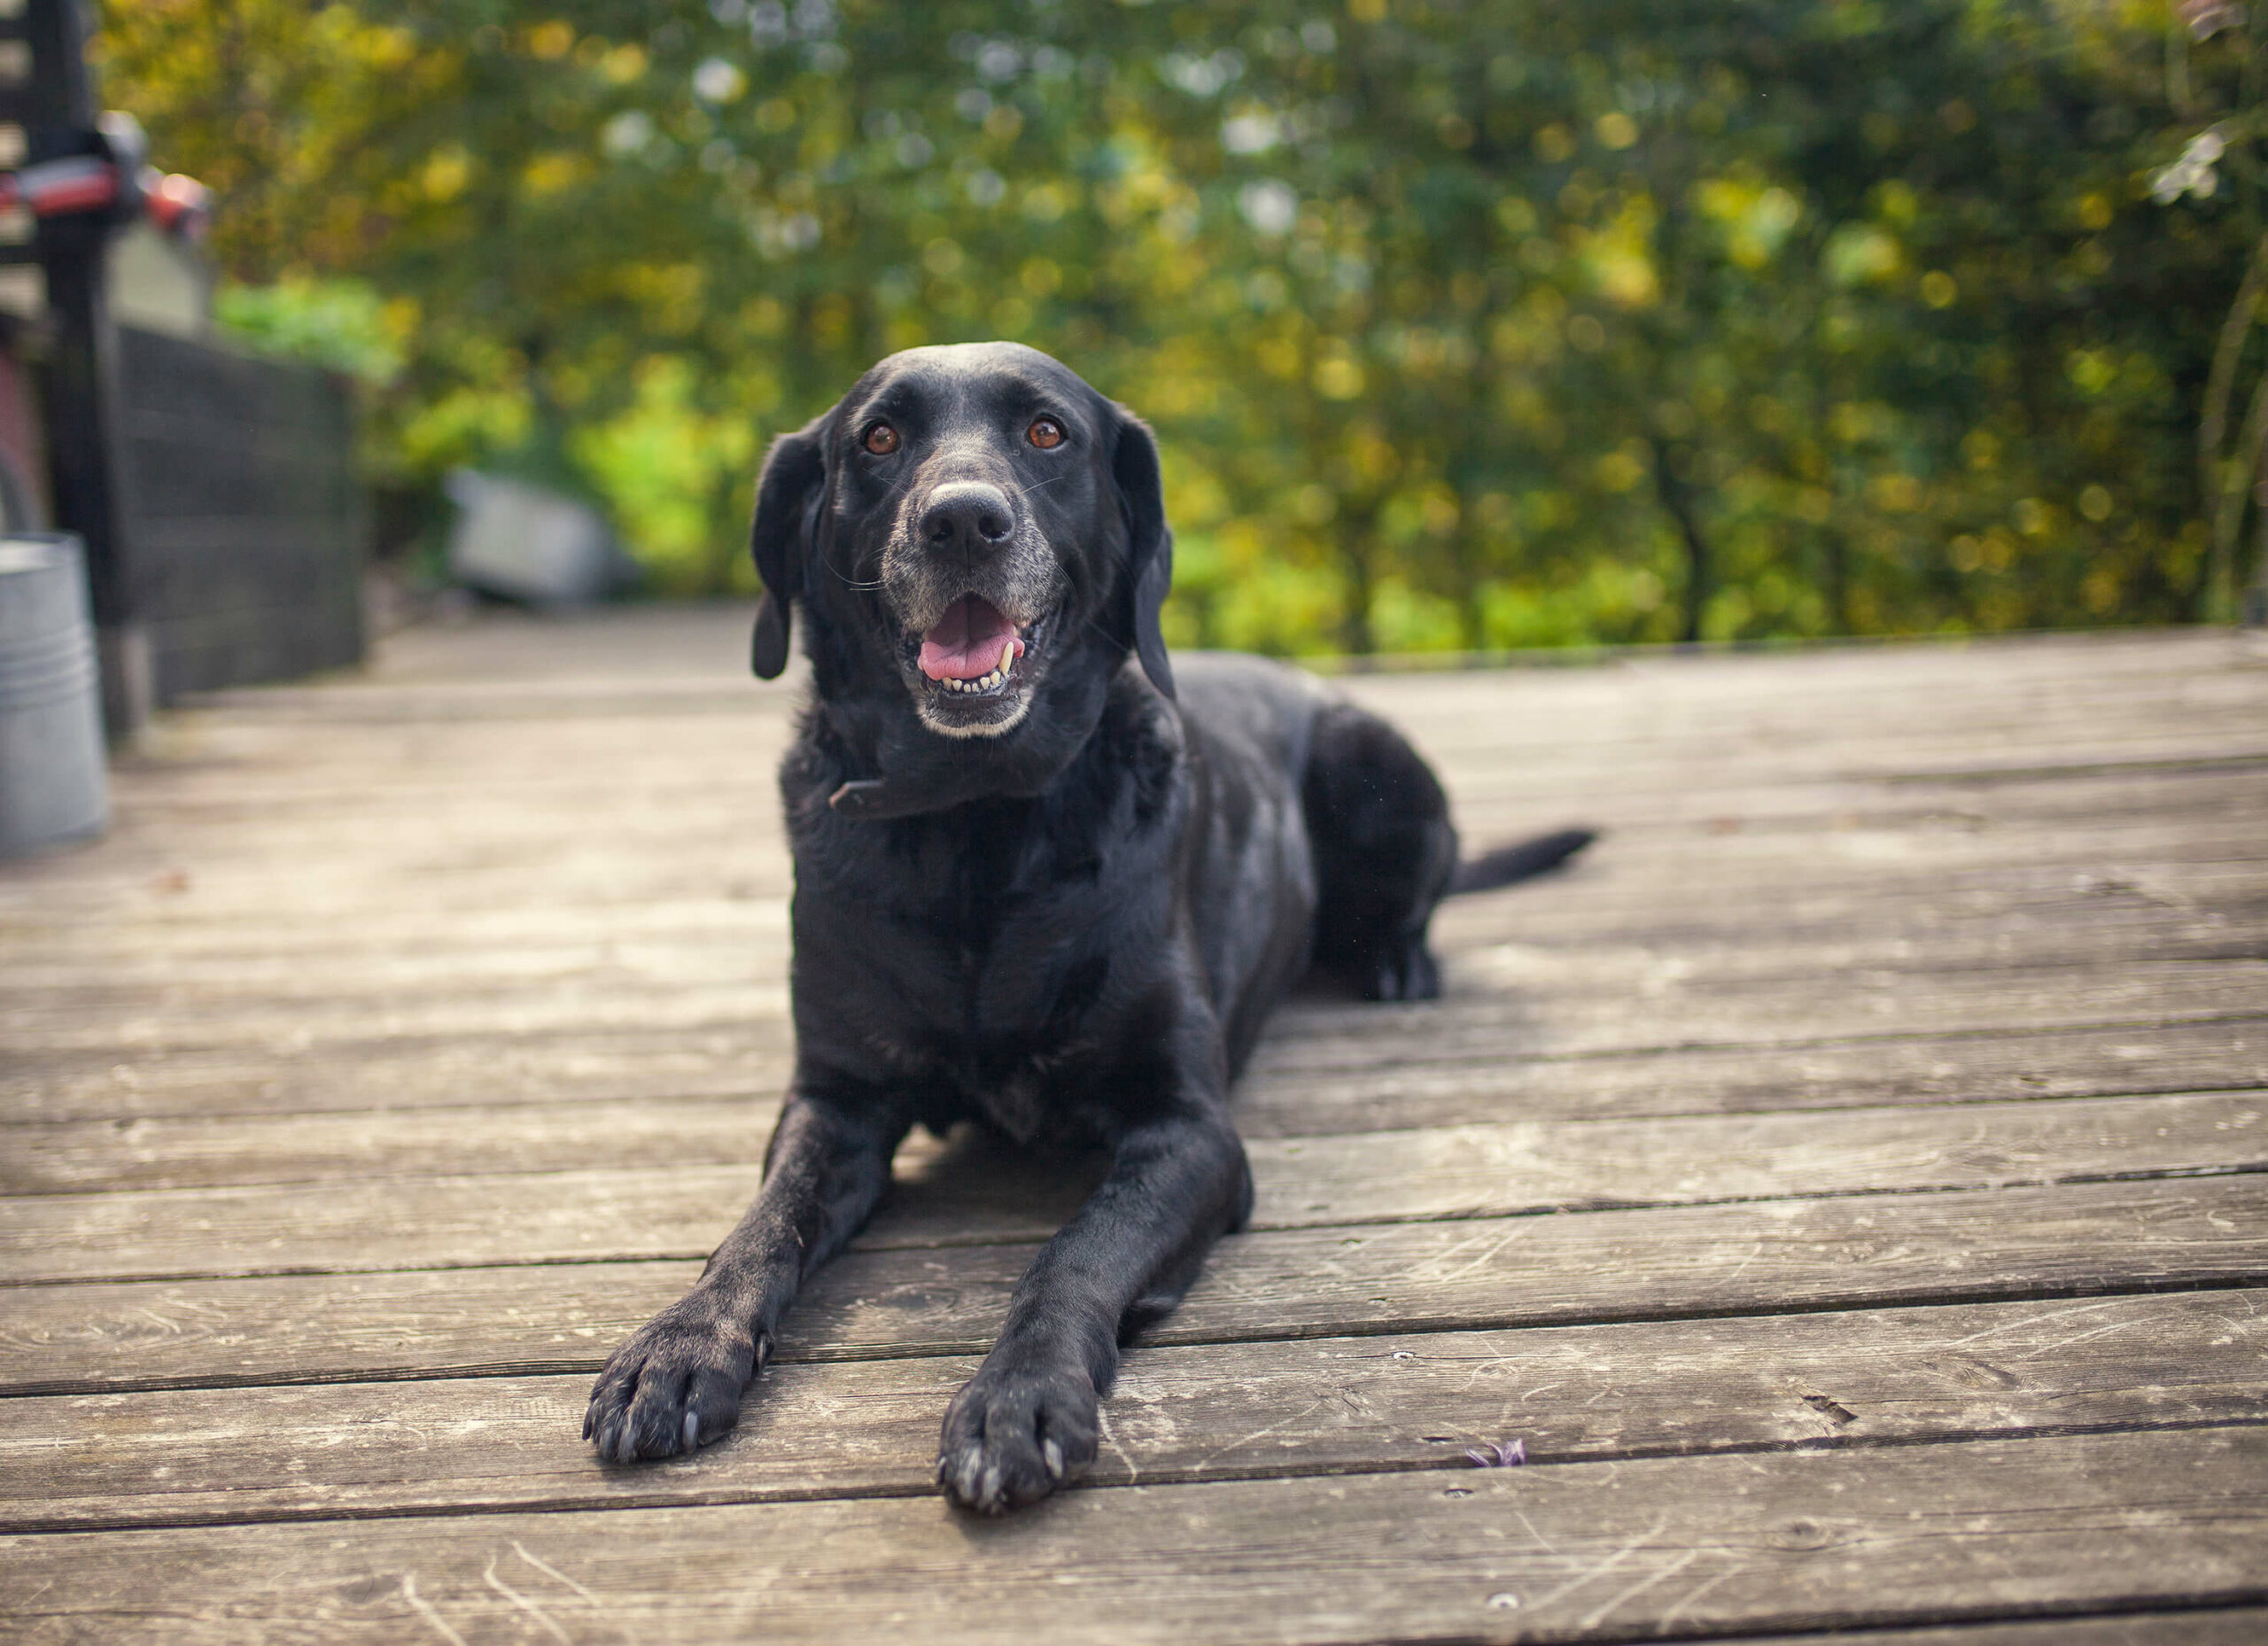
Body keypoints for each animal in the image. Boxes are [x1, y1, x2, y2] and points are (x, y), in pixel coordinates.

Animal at [580, 342, 1596, 1514]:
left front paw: (1017, 1397)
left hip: (1372, 756)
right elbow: (759, 1225)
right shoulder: (835, 1095)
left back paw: (1394, 958)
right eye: (877, 438)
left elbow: (1075, 1251)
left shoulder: (1188, 1128)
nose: (962, 521)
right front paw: (677, 1344)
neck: (977, 819)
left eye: (1046, 432)